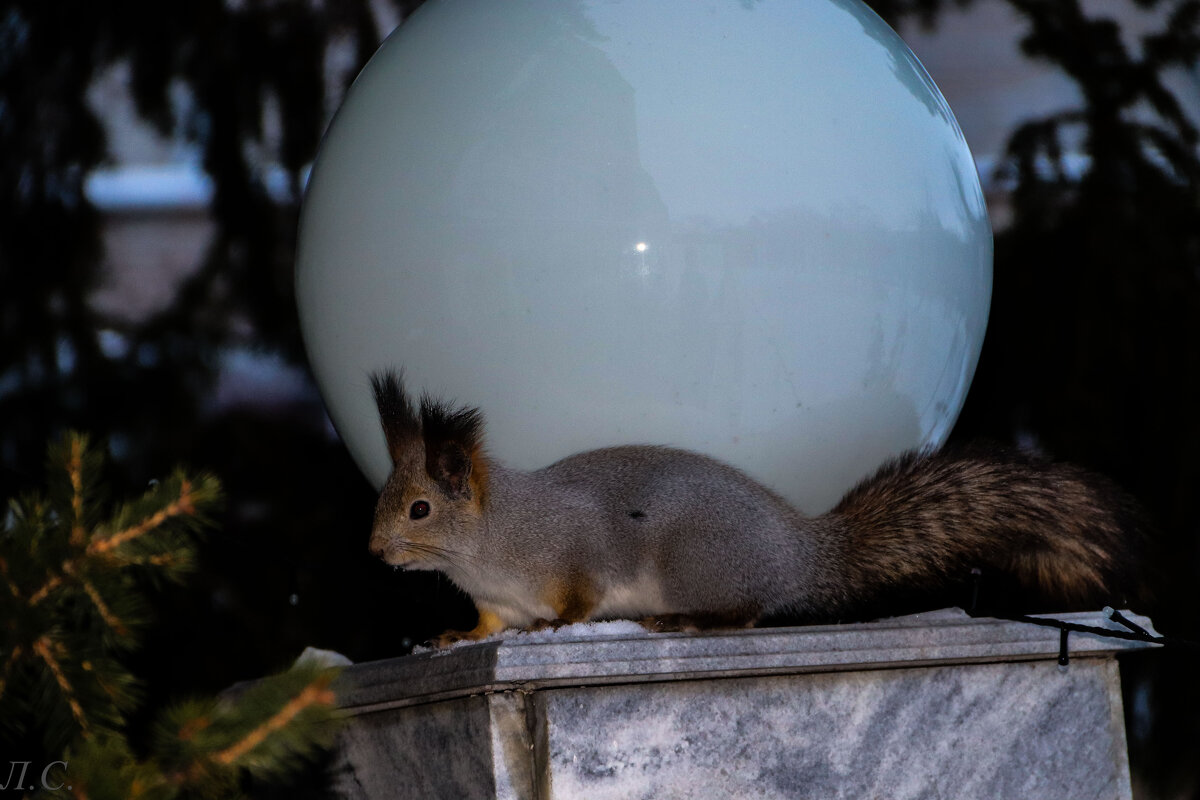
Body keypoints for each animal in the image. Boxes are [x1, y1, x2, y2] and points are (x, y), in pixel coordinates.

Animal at [367, 371, 1152, 647]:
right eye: (387, 500)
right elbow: (486, 626)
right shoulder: (494, 601)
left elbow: (580, 594)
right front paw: (453, 638)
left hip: (696, 562)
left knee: (745, 612)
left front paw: (556, 626)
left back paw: (685, 620)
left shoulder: (576, 550)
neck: (488, 547)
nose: (374, 553)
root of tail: (803, 552)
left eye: (418, 510)